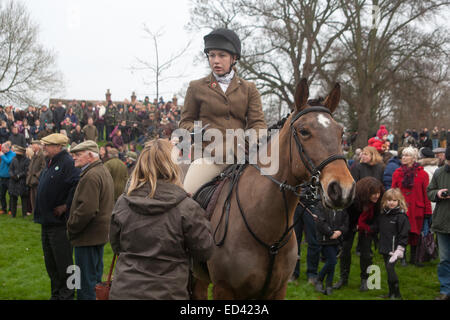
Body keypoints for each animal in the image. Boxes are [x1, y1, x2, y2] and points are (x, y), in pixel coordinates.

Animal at [190, 79, 356, 298]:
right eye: (304, 131)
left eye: (341, 132)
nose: (343, 189)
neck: (269, 234)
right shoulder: (224, 289)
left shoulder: (278, 289)